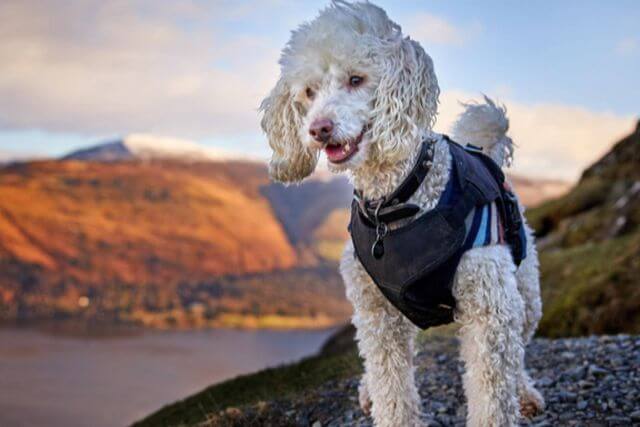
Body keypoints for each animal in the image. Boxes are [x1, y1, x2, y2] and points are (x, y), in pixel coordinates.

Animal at [260, 1, 544, 426]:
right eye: (309, 92)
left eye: (356, 79)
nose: (319, 129)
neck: (394, 204)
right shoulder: (377, 315)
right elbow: (390, 388)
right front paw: (384, 401)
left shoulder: (489, 309)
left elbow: (494, 392)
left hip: (525, 293)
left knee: (518, 351)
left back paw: (524, 391)